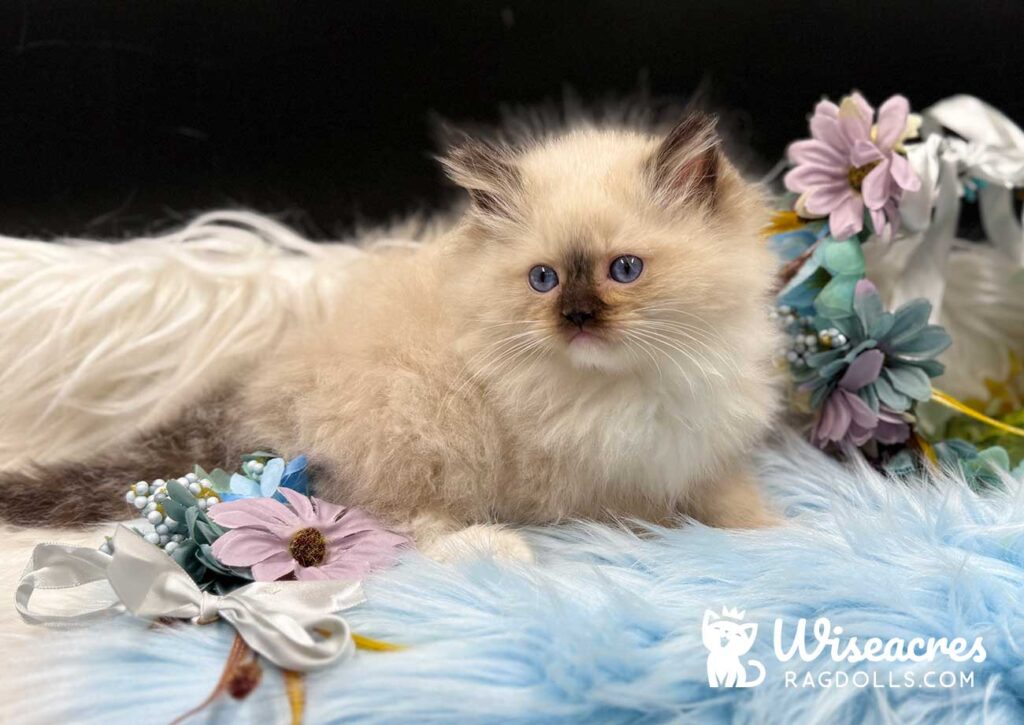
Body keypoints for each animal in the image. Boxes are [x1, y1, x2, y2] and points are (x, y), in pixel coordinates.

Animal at [0, 111, 774, 561]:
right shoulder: (596, 475)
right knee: (395, 520)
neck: (633, 381)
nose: (578, 318)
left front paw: (779, 531)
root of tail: (256, 398)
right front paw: (663, 535)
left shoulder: (696, 445)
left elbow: (732, 499)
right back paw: (493, 548)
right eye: (544, 280)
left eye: (625, 270)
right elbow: (644, 511)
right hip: (422, 421)